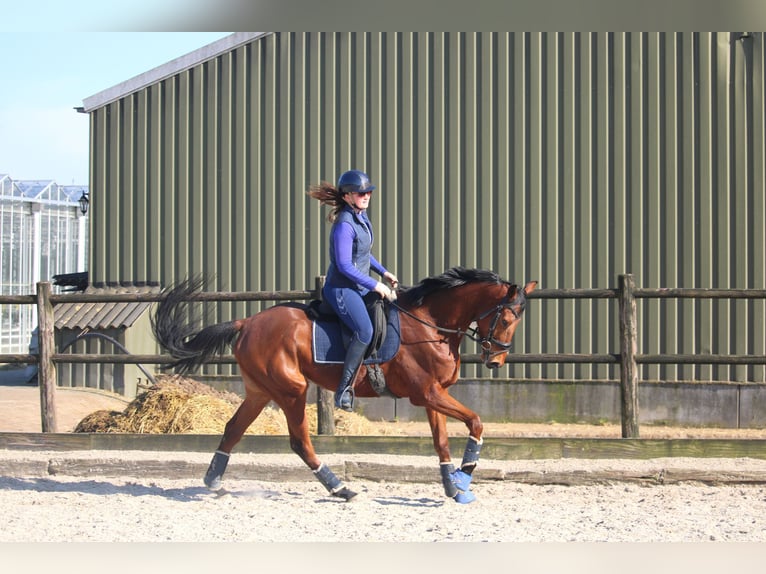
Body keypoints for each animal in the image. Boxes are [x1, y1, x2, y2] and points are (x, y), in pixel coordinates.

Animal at [150, 268, 536, 506]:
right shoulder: (427, 393)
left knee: (232, 429)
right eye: (506, 317)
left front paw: (453, 488)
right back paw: (340, 488)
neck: (431, 323)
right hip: (292, 390)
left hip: (260, 391)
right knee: (299, 442)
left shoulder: (433, 396)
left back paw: (213, 482)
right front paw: (465, 476)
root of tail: (247, 321)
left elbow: (441, 443)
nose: (496, 361)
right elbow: (476, 422)